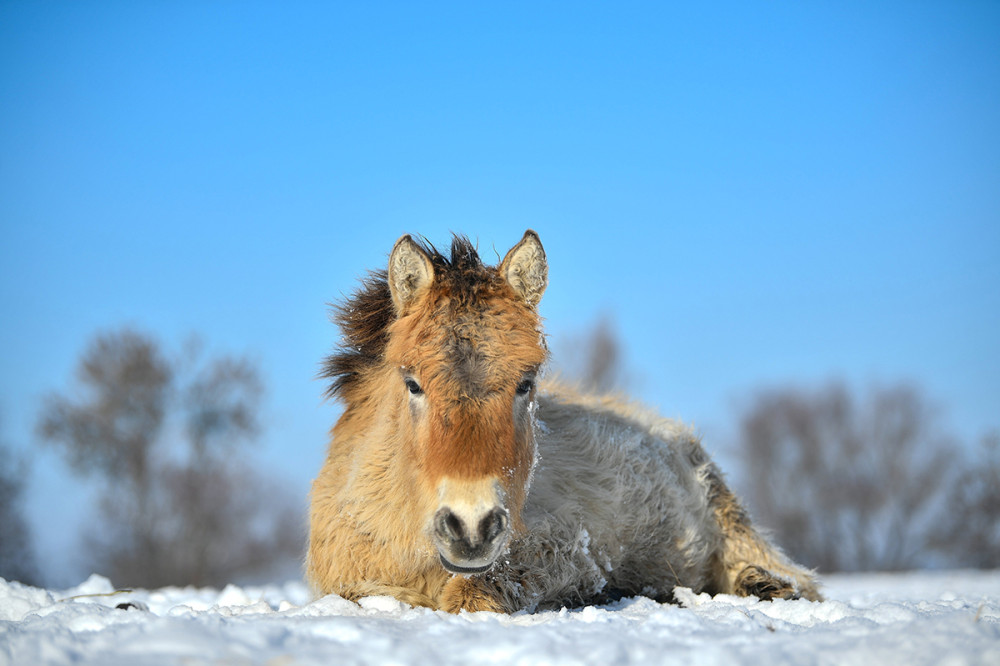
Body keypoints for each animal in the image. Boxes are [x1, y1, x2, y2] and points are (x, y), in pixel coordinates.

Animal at [306, 231, 820, 608]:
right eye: (412, 383)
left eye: (527, 382)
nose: (471, 529)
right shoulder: (346, 579)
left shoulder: (564, 550)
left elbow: (473, 595)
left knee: (798, 577)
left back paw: (764, 583)